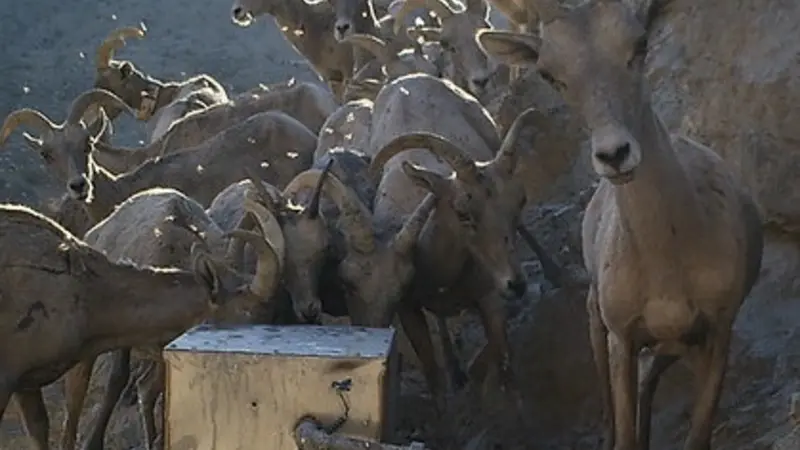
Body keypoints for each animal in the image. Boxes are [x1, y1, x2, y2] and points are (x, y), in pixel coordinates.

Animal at [476, 1, 765, 448]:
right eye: (549, 73)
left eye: (640, 43)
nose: (614, 154)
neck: (669, 268)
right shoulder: (622, 336)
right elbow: (625, 431)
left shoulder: (717, 332)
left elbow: (698, 433)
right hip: (600, 325)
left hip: (672, 347)